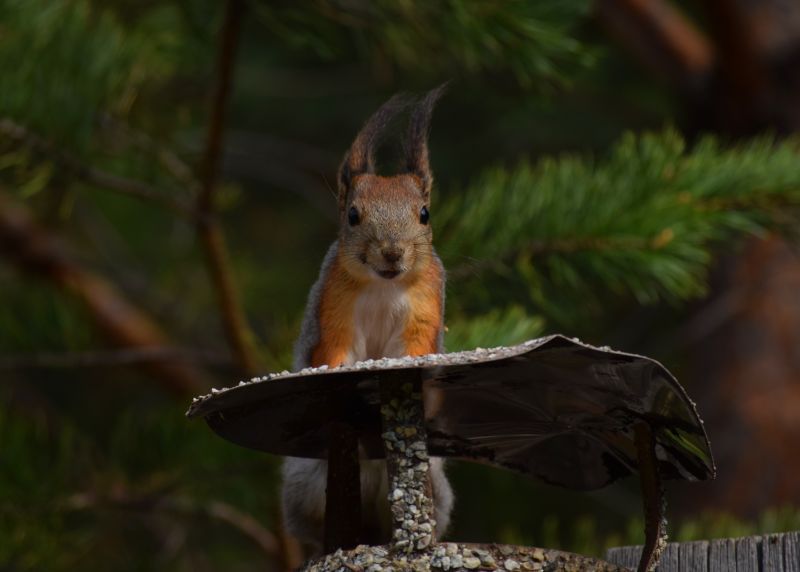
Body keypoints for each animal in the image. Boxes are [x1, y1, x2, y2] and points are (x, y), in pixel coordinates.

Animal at [281, 87, 454, 554]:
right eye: (353, 215)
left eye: (425, 213)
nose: (392, 253)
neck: (382, 286)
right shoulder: (334, 311)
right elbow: (337, 351)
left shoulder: (424, 309)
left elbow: (413, 350)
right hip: (309, 484)